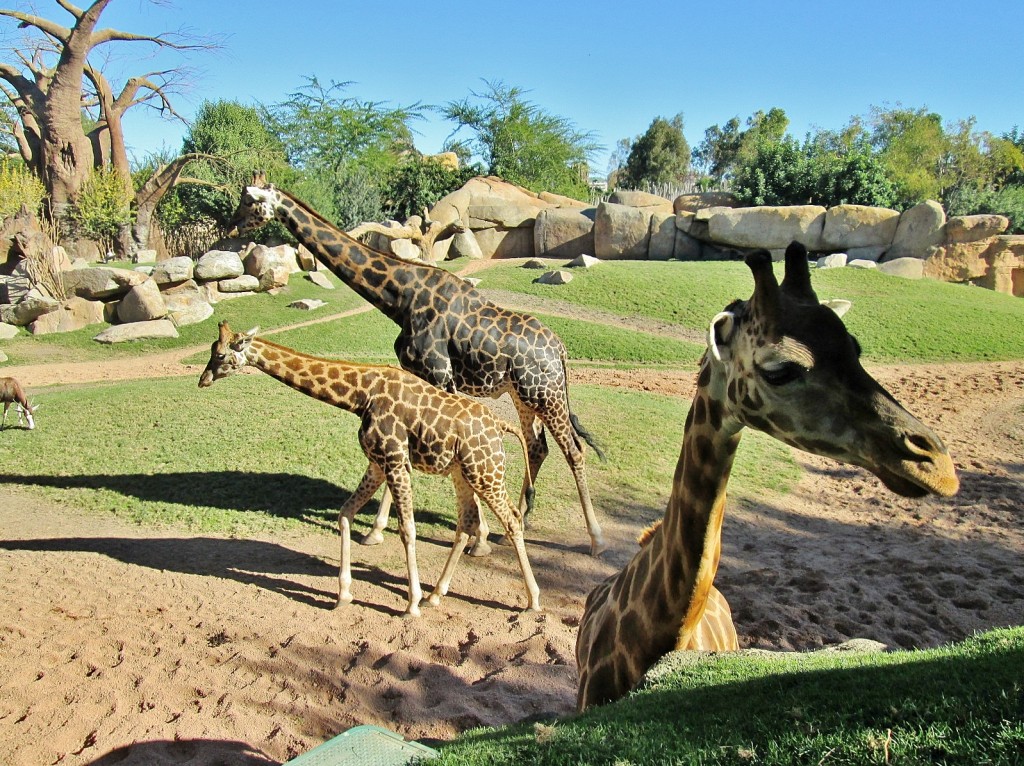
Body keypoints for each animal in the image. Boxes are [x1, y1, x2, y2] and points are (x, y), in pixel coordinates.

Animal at [194, 319, 540, 614]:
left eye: (220, 353)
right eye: (211, 350)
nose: (203, 379)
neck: (361, 396)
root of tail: (501, 426)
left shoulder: (396, 459)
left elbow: (407, 529)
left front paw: (411, 604)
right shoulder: (375, 462)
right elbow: (345, 513)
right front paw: (344, 594)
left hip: (485, 472)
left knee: (511, 520)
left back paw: (532, 601)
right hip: (464, 472)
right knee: (467, 524)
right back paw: (436, 595)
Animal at [228, 175, 606, 557]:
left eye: (248, 202)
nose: (231, 227)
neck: (401, 298)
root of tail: (560, 350)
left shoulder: (440, 374)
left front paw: (478, 538)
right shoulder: (415, 374)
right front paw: (377, 530)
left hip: (545, 393)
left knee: (573, 450)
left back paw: (595, 539)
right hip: (522, 394)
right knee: (537, 446)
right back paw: (520, 525)